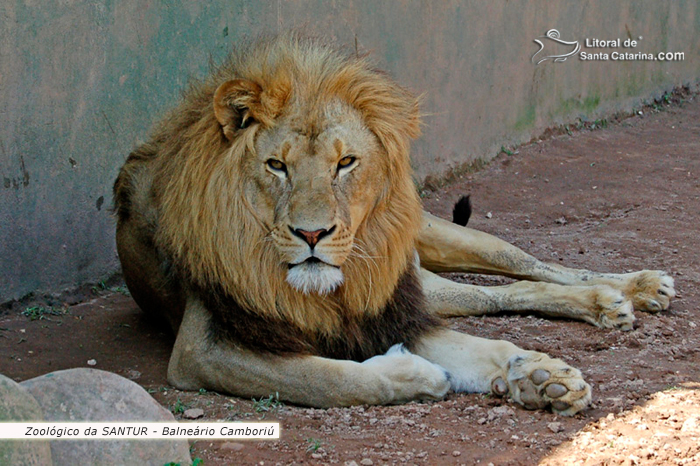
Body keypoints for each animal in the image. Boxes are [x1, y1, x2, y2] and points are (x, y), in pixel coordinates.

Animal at [113, 35, 672, 416]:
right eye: (277, 166)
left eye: (345, 164)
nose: (312, 235)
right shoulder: (200, 352)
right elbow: (327, 379)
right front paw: (442, 373)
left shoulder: (388, 310)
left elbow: (483, 344)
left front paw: (539, 372)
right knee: (500, 296)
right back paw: (611, 302)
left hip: (433, 248)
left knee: (529, 269)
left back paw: (632, 288)